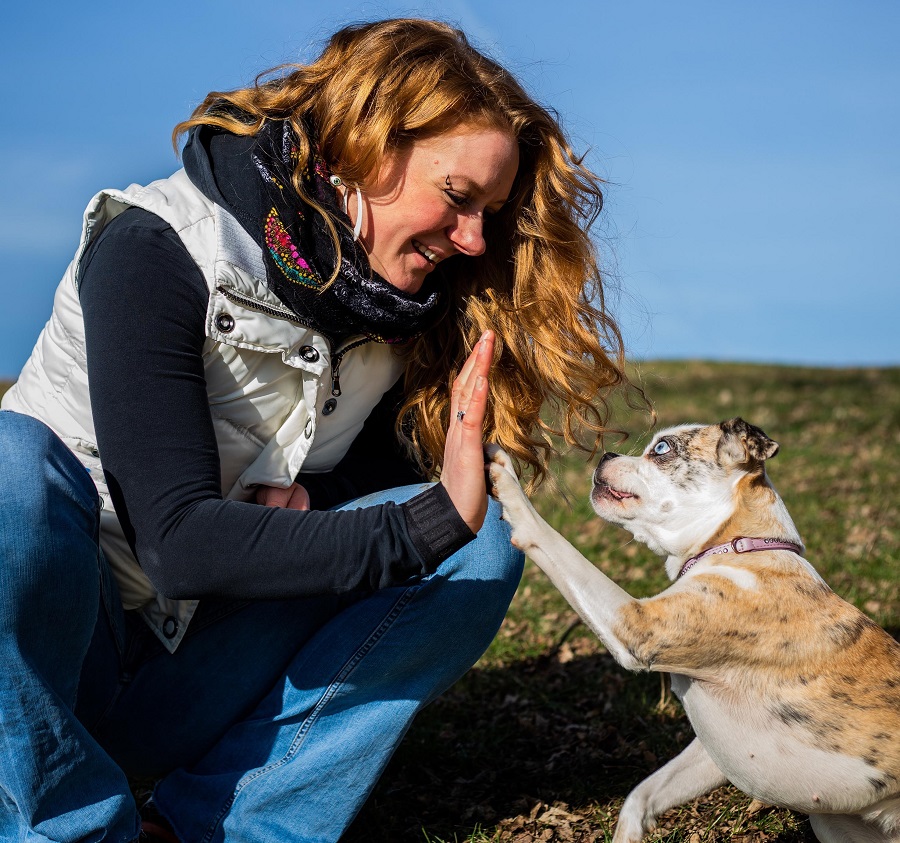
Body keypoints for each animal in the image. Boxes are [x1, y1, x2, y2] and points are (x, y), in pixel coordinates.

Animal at [488, 418, 900, 840]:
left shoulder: (635, 625)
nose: (606, 455)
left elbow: (548, 538)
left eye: (662, 448)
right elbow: (642, 795)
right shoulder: (715, 750)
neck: (738, 547)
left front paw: (505, 480)